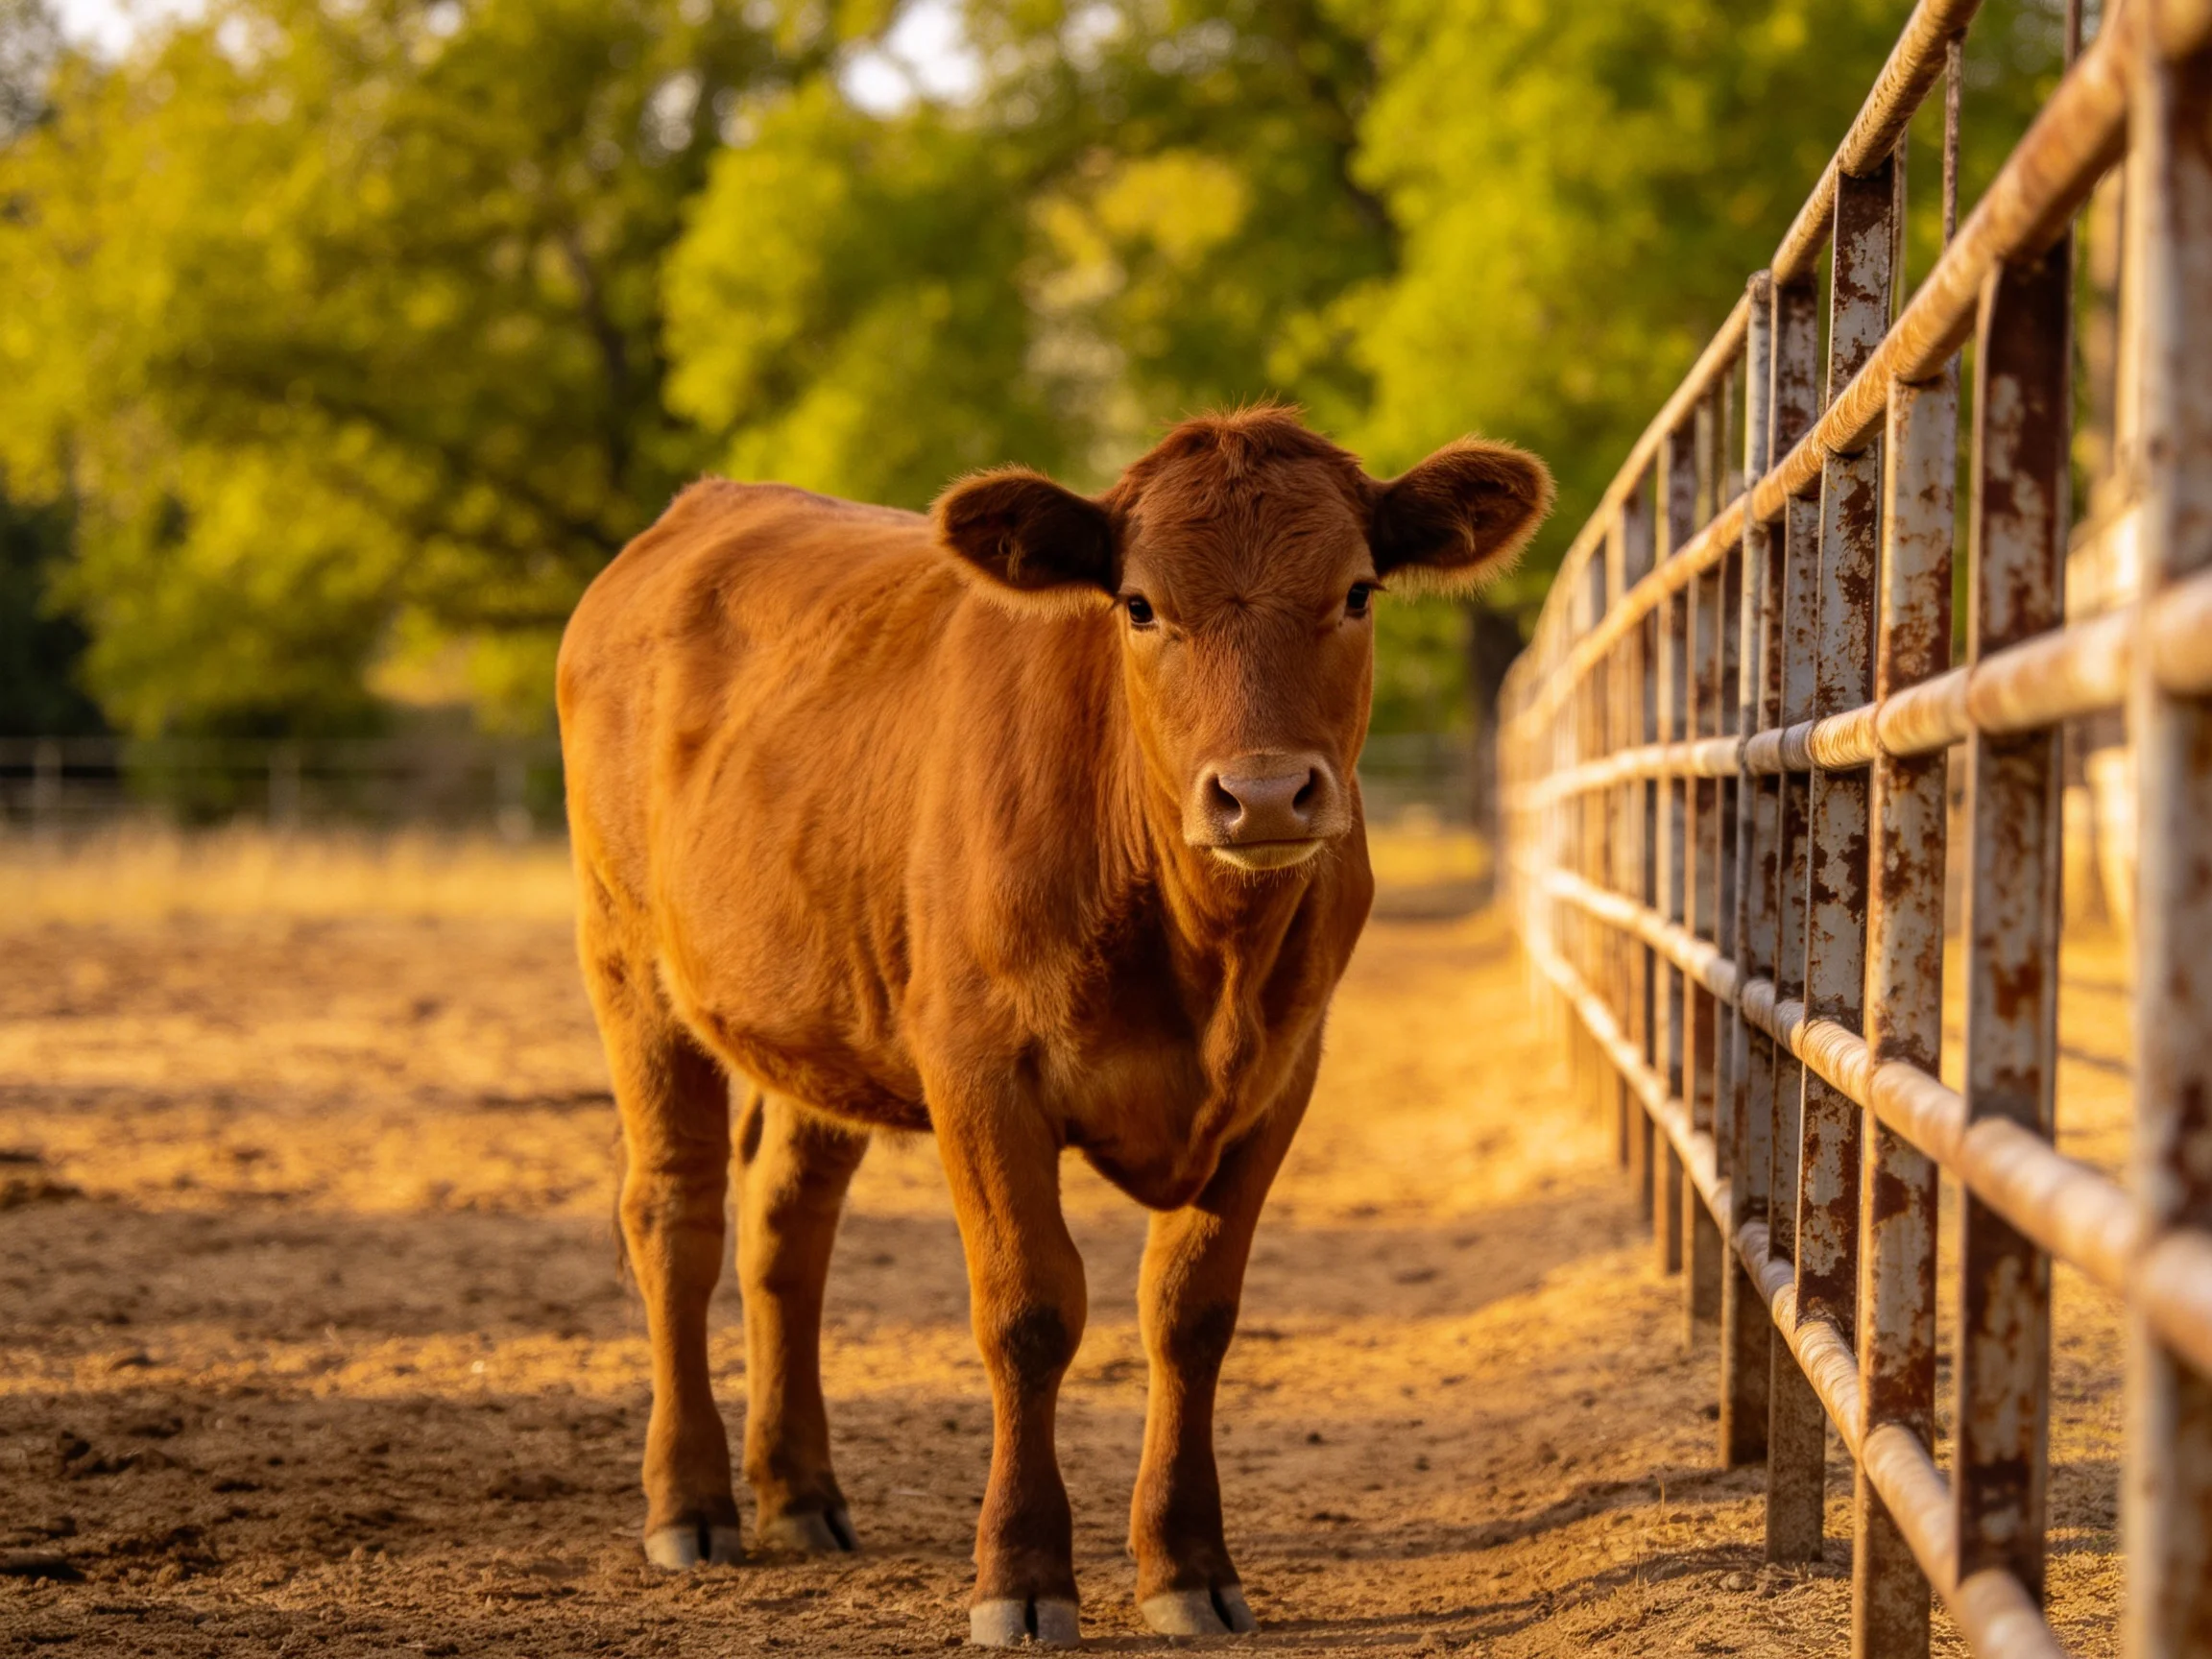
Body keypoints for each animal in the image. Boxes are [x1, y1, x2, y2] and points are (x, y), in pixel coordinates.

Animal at [555, 405, 1551, 1646]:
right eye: (1140, 604)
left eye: (1359, 591)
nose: (1265, 795)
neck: (1203, 954)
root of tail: (705, 505)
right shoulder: (981, 1070)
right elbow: (1029, 1311)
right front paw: (1021, 1576)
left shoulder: (1281, 1076)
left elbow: (1191, 1312)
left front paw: (1186, 1565)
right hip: (629, 962)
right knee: (675, 1216)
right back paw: (689, 1506)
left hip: (823, 1014)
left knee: (786, 1229)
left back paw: (800, 1495)